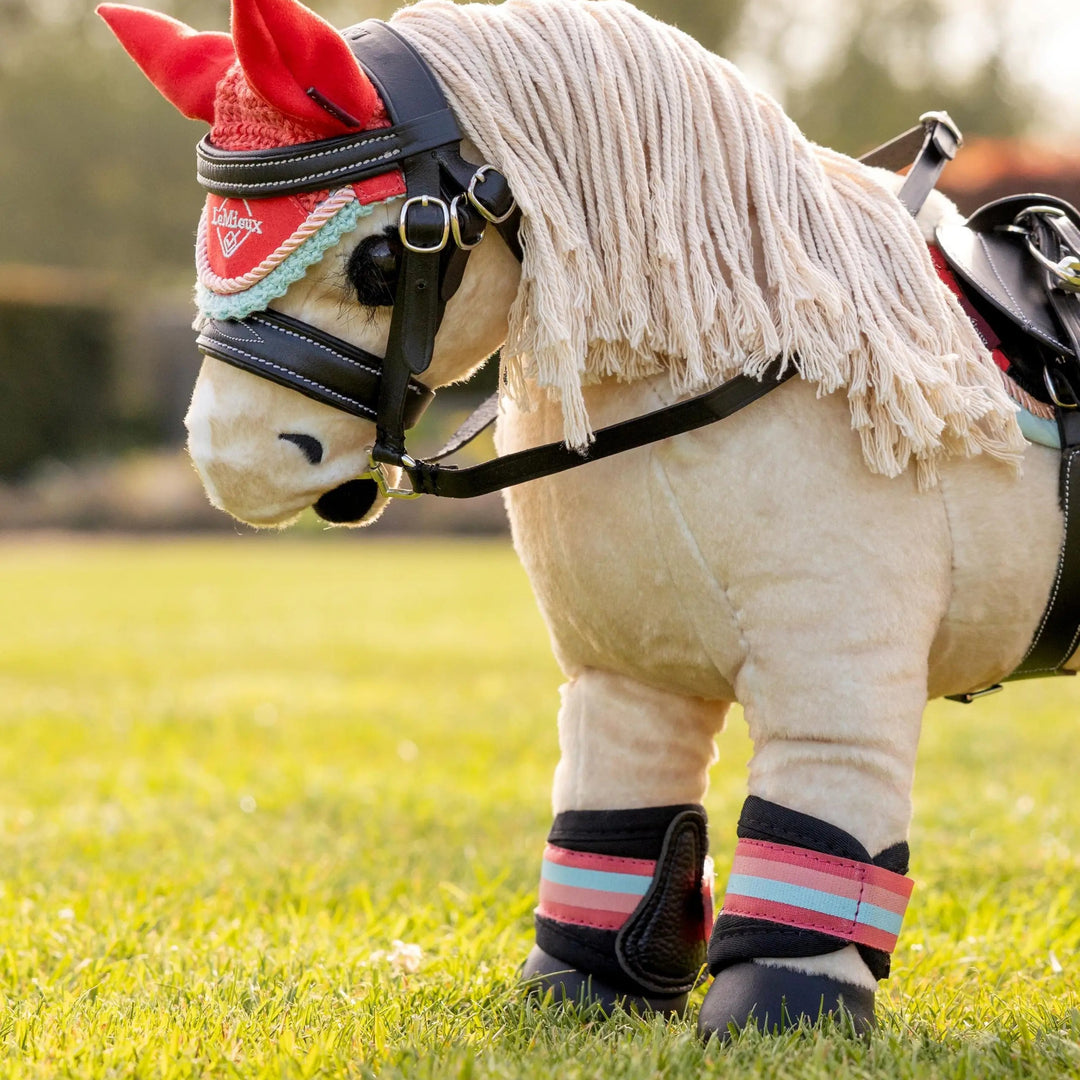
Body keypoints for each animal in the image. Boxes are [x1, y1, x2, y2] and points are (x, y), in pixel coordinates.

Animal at [99, 0, 1077, 1039]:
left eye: (380, 258)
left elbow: (817, 825)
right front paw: (579, 991)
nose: (228, 459)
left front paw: (779, 1012)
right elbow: (618, 821)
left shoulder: (838, 674)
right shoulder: (624, 667)